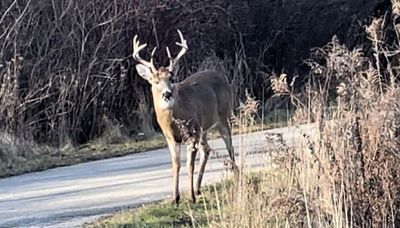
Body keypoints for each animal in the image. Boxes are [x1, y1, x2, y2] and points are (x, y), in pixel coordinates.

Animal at [133, 29, 236, 203]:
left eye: (172, 78)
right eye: (155, 81)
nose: (167, 94)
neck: (174, 121)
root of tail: (221, 76)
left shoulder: (191, 133)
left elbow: (189, 165)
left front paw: (191, 198)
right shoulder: (170, 138)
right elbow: (176, 165)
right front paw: (175, 198)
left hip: (223, 117)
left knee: (230, 146)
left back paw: (236, 175)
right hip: (204, 127)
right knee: (206, 149)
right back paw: (198, 188)